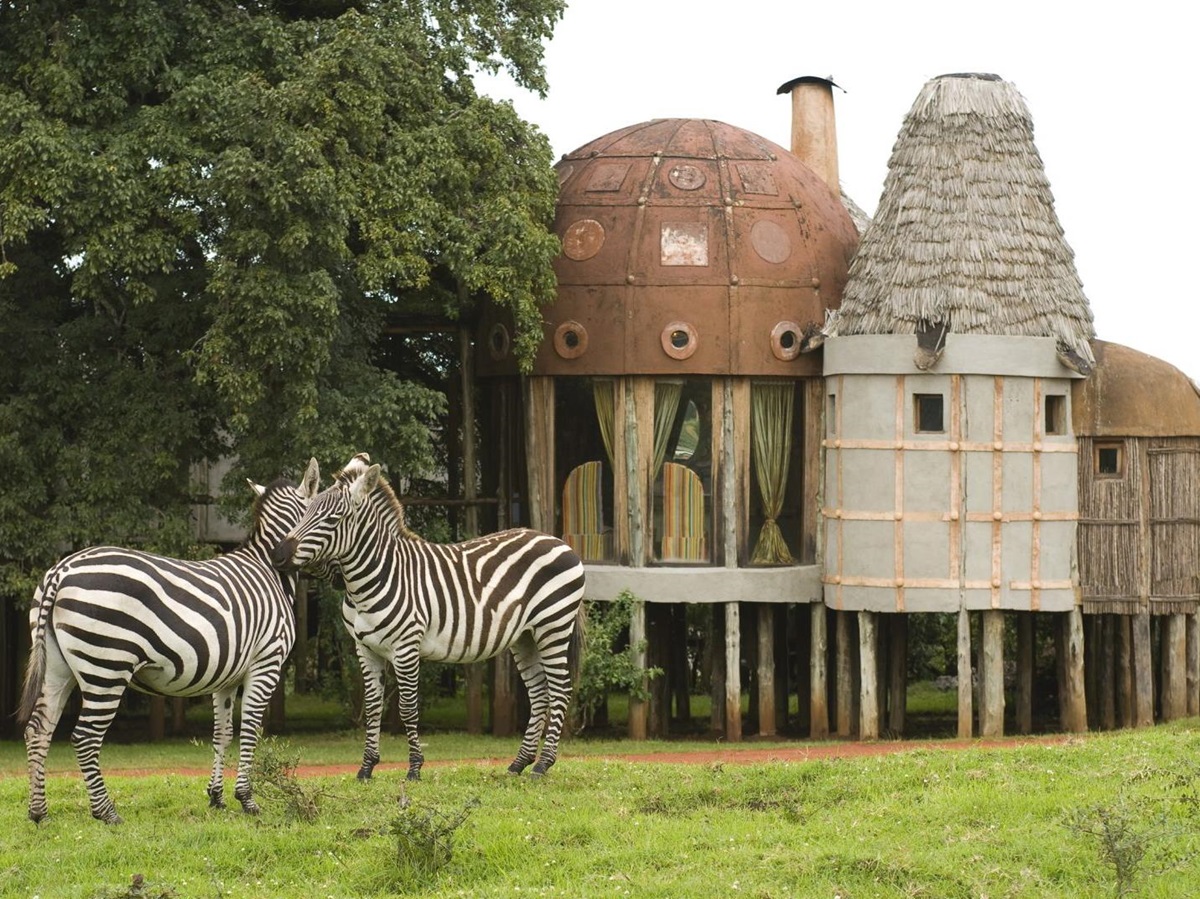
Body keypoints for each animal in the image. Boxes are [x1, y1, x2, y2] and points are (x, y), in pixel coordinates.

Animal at [19, 458, 321, 824]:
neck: (269, 571)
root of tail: (61, 570)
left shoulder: (226, 676)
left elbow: (222, 733)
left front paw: (216, 797)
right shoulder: (267, 662)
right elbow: (249, 729)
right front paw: (247, 799)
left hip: (57, 665)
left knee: (39, 730)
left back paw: (39, 812)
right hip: (107, 666)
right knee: (85, 736)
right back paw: (107, 813)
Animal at [271, 453, 586, 781]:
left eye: (332, 520)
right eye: (304, 512)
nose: (278, 554)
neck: (378, 575)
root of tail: (557, 541)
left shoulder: (406, 647)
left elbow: (408, 707)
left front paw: (414, 768)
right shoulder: (365, 648)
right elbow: (372, 707)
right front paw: (366, 767)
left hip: (553, 627)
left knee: (560, 690)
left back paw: (542, 765)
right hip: (525, 637)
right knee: (539, 694)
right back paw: (518, 764)